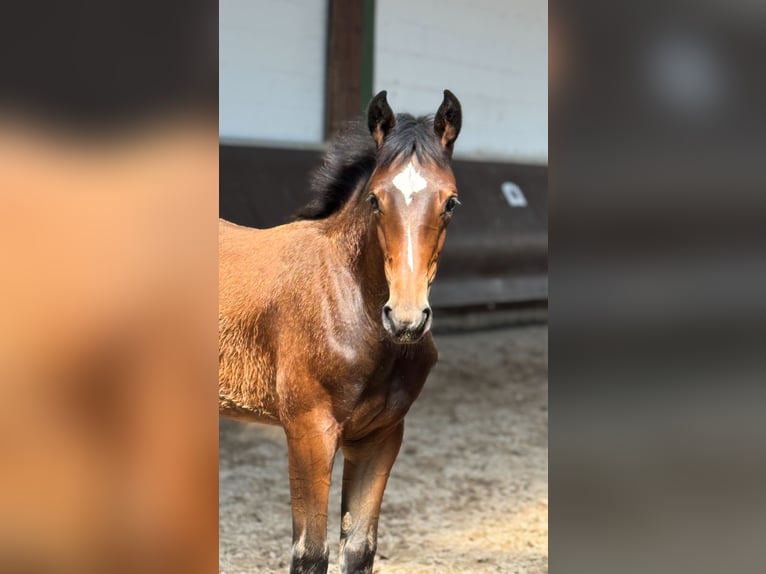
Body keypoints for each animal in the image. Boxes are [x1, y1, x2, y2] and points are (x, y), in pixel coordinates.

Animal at [219, 90, 464, 574]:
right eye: (374, 199)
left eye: (450, 202)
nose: (405, 319)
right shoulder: (309, 431)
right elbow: (310, 554)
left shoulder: (380, 438)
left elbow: (359, 549)